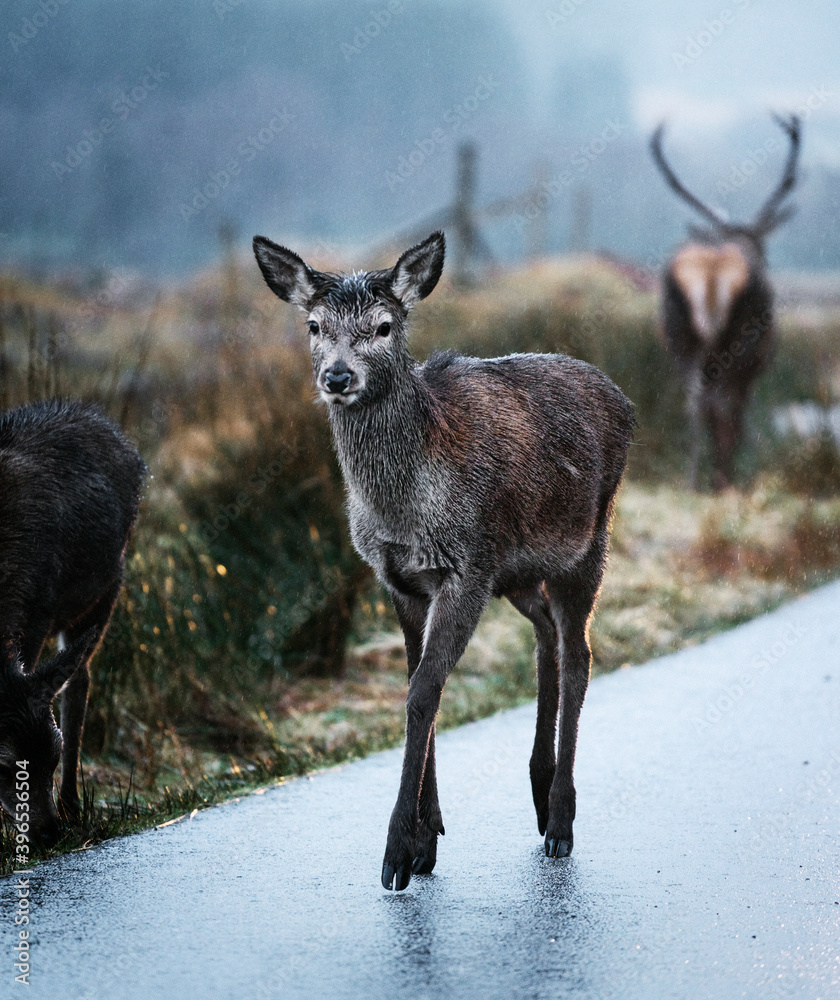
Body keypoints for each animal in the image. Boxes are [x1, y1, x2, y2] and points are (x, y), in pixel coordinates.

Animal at [0, 398, 146, 844]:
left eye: (53, 751)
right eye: (4, 763)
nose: (48, 833)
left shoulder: (37, 611)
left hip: (107, 585)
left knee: (79, 679)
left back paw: (72, 803)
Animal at [253, 232, 632, 892]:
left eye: (383, 325)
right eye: (314, 324)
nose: (337, 375)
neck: (405, 508)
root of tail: (626, 400)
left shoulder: (466, 569)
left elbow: (424, 690)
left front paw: (395, 852)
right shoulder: (401, 580)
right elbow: (414, 685)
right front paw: (425, 841)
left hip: (587, 544)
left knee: (580, 654)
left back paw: (561, 820)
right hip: (519, 572)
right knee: (547, 636)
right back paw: (538, 790)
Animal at [648, 115, 800, 490]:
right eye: (765, 248)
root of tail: (712, 270)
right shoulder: (756, 366)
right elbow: (741, 417)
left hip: (680, 335)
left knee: (695, 402)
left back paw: (693, 481)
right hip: (741, 341)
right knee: (721, 406)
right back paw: (722, 480)